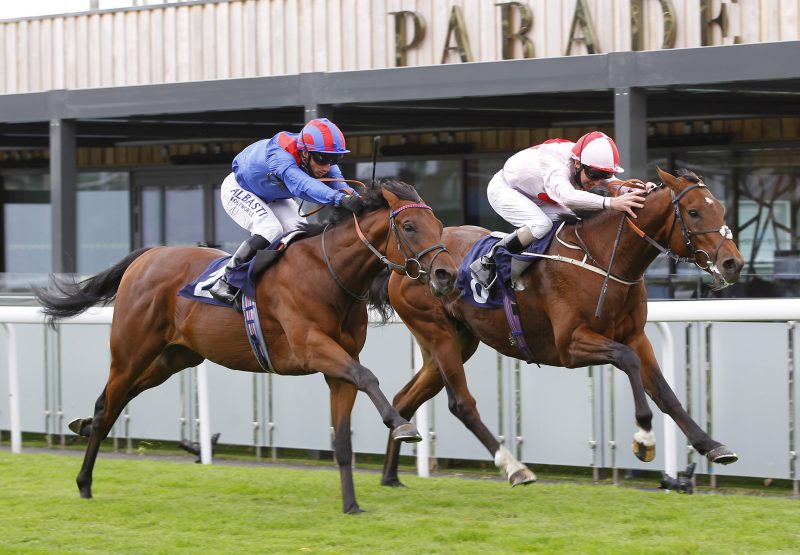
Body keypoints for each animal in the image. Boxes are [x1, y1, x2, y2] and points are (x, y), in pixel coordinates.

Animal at [32, 180, 456, 516]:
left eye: (438, 225)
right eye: (408, 225)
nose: (445, 275)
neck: (330, 273)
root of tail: (148, 254)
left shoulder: (338, 367)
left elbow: (342, 437)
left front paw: (351, 505)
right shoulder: (311, 346)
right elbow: (368, 376)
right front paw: (402, 424)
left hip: (171, 358)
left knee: (114, 401)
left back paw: (83, 426)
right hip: (131, 351)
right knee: (109, 404)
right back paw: (84, 481)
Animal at [374, 168, 744, 486]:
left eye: (720, 208)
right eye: (694, 213)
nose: (733, 263)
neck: (602, 257)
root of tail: (404, 264)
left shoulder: (636, 336)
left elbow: (666, 393)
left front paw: (712, 445)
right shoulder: (570, 345)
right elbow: (627, 360)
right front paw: (644, 437)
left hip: (457, 341)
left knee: (405, 398)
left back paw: (391, 476)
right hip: (437, 332)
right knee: (461, 404)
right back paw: (515, 468)